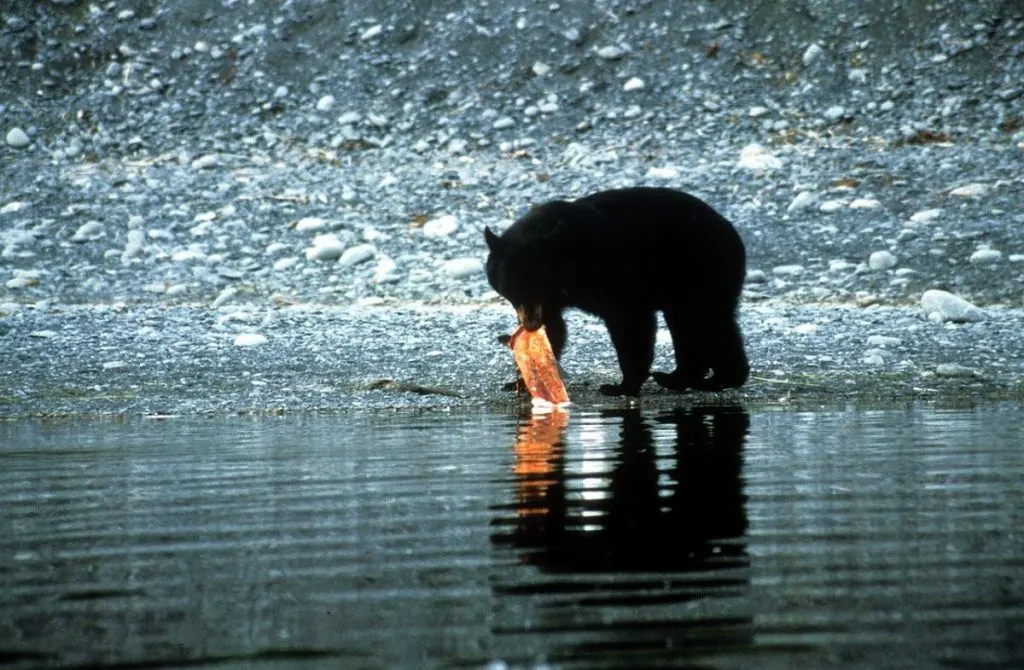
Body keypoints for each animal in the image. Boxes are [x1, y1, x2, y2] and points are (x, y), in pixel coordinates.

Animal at [483, 186, 749, 395]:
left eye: (535, 285)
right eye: (512, 291)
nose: (529, 324)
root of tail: (731, 230)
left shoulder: (604, 266)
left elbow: (629, 317)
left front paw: (622, 386)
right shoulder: (548, 300)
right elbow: (554, 328)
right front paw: (520, 380)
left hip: (699, 268)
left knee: (703, 321)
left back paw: (702, 379)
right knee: (701, 323)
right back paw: (695, 378)